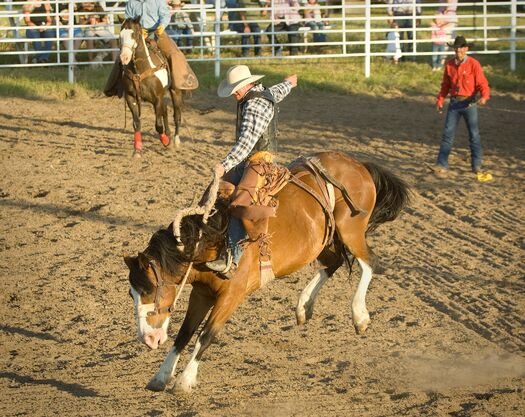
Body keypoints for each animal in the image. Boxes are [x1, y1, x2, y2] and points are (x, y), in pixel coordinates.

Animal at [124, 151, 410, 392]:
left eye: (149, 288)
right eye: (131, 294)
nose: (148, 338)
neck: (209, 240)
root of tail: (358, 165)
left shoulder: (232, 296)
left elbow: (206, 335)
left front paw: (184, 381)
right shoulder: (201, 293)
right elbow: (185, 332)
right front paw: (161, 376)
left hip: (351, 231)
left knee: (369, 263)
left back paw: (359, 315)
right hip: (324, 242)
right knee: (335, 262)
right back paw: (304, 306)